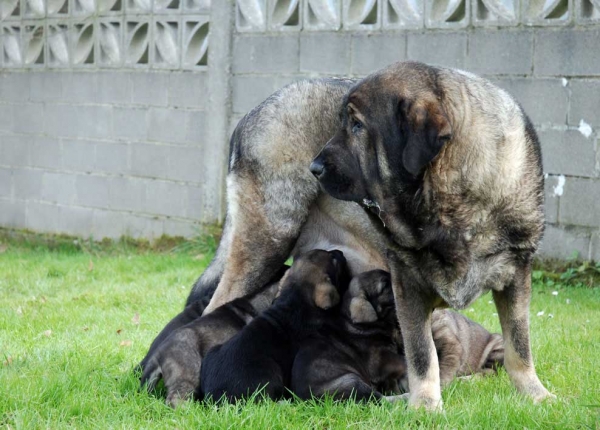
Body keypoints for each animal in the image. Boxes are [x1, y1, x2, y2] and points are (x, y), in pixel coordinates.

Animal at [288, 270, 406, 402]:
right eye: (385, 285)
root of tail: (307, 400)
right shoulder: (380, 360)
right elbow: (402, 361)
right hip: (351, 381)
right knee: (378, 399)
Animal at [314, 61, 552, 410]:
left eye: (357, 125)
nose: (313, 167)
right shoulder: (406, 284)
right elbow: (422, 353)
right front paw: (425, 405)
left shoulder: (516, 273)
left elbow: (519, 345)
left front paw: (535, 395)